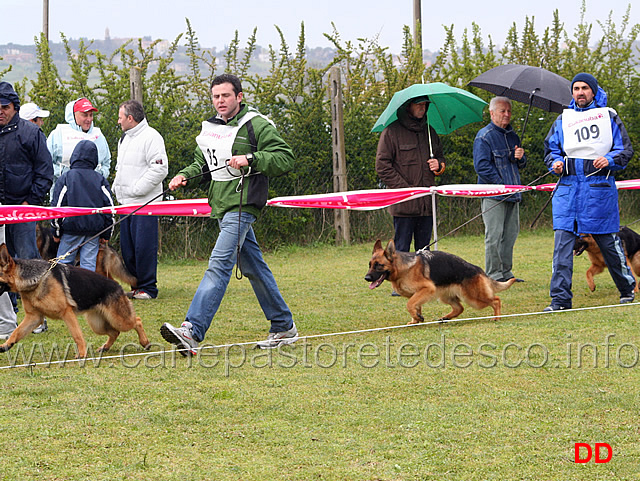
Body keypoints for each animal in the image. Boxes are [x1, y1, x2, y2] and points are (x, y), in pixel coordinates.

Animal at [0, 244, 151, 356]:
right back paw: (105, 347)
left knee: (137, 321)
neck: (38, 279)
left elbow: (77, 335)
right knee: (115, 332)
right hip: (97, 324)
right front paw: (6, 345)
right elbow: (16, 332)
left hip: (119, 320)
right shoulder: (34, 317)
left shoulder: (67, 313)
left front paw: (82, 354)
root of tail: (118, 286)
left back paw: (145, 342)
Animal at [362, 239, 516, 324]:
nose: (367, 278)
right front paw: (416, 319)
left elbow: (409, 304)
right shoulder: (418, 294)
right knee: (459, 308)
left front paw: (416, 317)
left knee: (496, 300)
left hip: (474, 298)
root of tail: (478, 269)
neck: (402, 268)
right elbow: (415, 306)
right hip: (446, 296)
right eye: (369, 265)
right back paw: (446, 318)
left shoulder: (427, 289)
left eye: (379, 265)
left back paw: (497, 318)